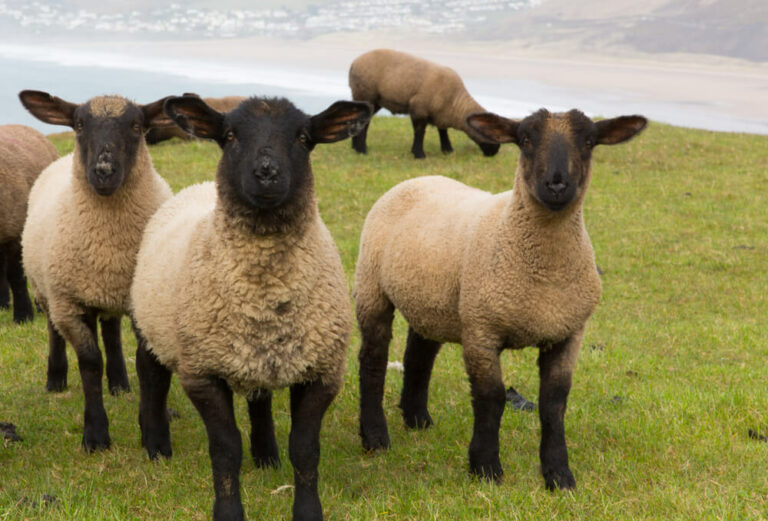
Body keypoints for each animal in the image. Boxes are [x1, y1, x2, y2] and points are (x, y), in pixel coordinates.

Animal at [16, 90, 174, 450]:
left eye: (136, 126)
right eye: (78, 124)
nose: (103, 171)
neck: (108, 249)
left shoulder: (141, 299)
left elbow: (145, 364)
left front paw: (152, 433)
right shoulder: (70, 304)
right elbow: (90, 363)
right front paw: (96, 435)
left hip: (110, 294)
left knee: (112, 330)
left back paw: (119, 383)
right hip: (46, 290)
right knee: (54, 330)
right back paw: (56, 379)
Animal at [131, 94, 372, 520]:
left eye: (303, 137)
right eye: (229, 136)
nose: (267, 173)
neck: (266, 290)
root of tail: (196, 188)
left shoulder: (322, 371)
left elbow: (305, 450)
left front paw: (307, 511)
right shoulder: (203, 372)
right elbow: (226, 450)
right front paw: (228, 512)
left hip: (256, 355)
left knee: (260, 398)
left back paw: (266, 457)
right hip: (153, 325)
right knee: (152, 377)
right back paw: (157, 446)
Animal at [346, 48, 498, 158]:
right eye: (489, 133)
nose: (495, 152)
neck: (454, 102)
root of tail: (354, 63)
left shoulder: (440, 114)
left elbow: (443, 131)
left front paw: (447, 150)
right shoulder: (419, 109)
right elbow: (420, 132)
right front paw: (419, 154)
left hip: (373, 100)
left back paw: (355, 147)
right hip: (365, 94)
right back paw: (361, 150)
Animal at [356, 107, 648, 490]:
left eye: (589, 141)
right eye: (524, 140)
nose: (557, 185)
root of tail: (419, 179)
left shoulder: (568, 332)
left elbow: (554, 403)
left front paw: (558, 474)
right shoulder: (481, 331)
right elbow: (491, 398)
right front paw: (485, 467)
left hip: (432, 300)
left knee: (418, 355)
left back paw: (417, 419)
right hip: (371, 286)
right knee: (372, 360)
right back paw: (375, 437)